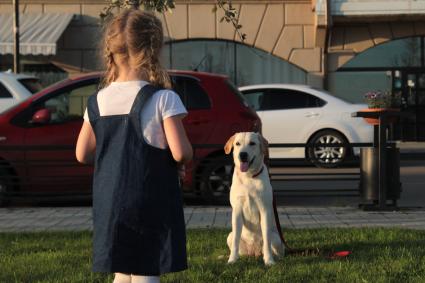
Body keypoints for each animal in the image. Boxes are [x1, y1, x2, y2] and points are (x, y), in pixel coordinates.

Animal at [222, 133, 284, 266]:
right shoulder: (237, 210)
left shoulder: (265, 209)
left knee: (278, 249)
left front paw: (269, 260)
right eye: (237, 143)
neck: (249, 177)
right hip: (229, 236)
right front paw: (232, 260)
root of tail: (255, 252)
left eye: (252, 143)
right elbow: (236, 240)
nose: (242, 154)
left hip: (277, 238)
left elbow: (266, 239)